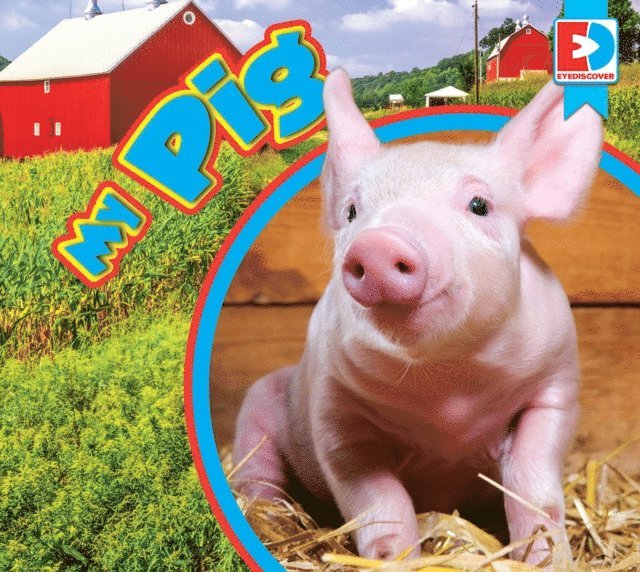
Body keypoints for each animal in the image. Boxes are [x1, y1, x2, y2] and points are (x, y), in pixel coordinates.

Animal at [232, 68, 602, 564]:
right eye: (352, 211)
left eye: (480, 205)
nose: (379, 243)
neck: (445, 391)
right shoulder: (335, 414)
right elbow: (379, 504)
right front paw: (398, 559)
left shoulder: (554, 386)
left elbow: (534, 485)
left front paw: (548, 559)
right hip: (256, 409)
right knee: (259, 478)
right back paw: (270, 521)